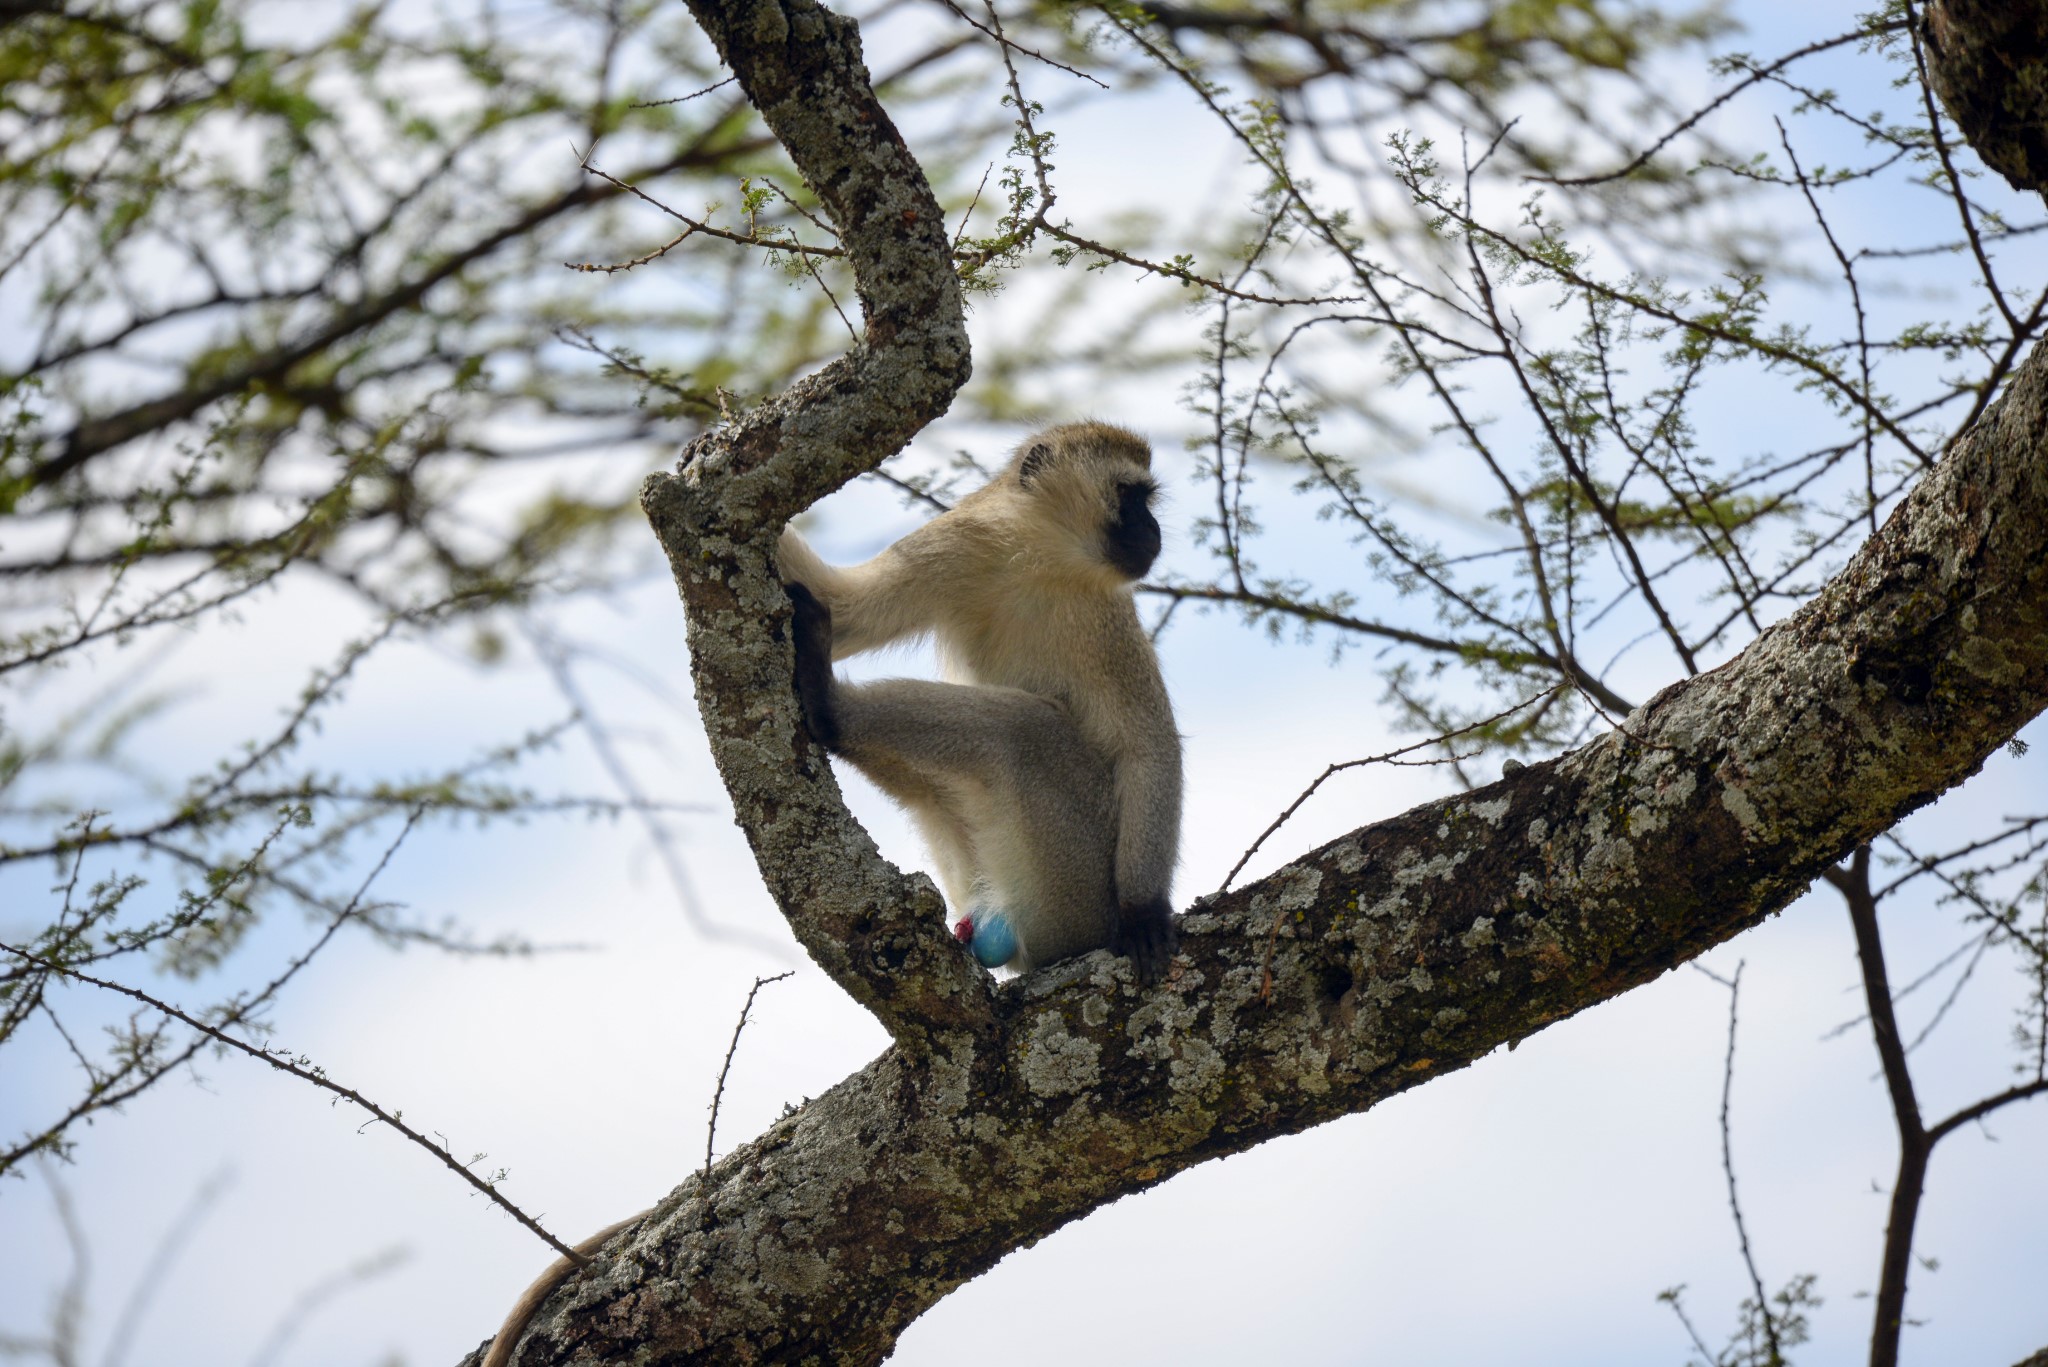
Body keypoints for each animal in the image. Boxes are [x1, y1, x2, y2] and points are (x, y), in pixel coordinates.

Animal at [774, 420, 1187, 983]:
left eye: (1146, 499)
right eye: (1131, 496)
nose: (1153, 529)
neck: (1037, 557)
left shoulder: (1107, 619)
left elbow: (1147, 746)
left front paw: (1144, 913)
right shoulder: (956, 544)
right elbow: (847, 610)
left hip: (1076, 891)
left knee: (1023, 729)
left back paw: (829, 707)